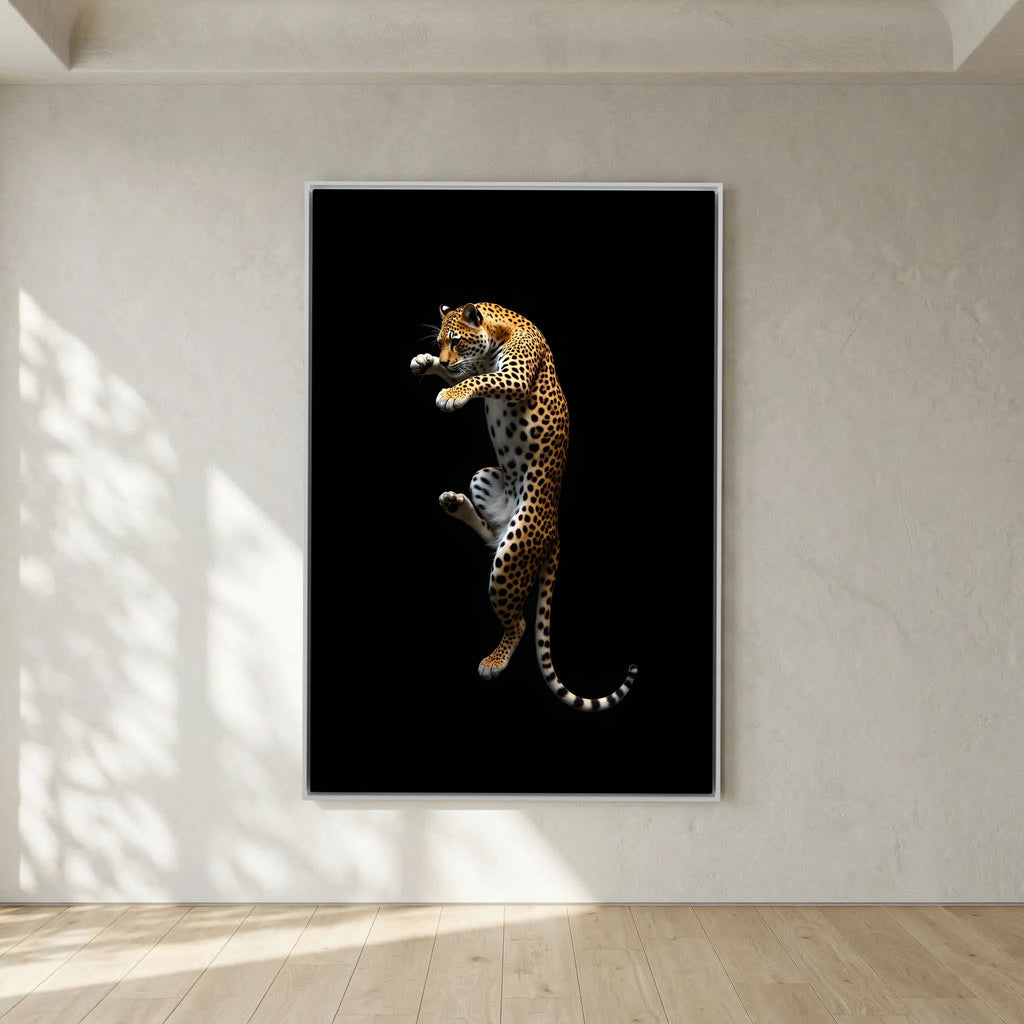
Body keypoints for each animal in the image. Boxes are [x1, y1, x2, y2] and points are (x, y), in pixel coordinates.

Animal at [410, 300, 637, 711]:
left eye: (456, 340)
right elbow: (468, 373)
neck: (499, 329)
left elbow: (479, 381)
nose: (444, 357)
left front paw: (451, 393)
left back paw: (493, 663)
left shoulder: (512, 377)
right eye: (441, 341)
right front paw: (427, 362)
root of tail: (554, 531)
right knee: (490, 534)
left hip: (513, 552)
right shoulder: (481, 366)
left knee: (516, 621)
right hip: (484, 477)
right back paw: (454, 503)